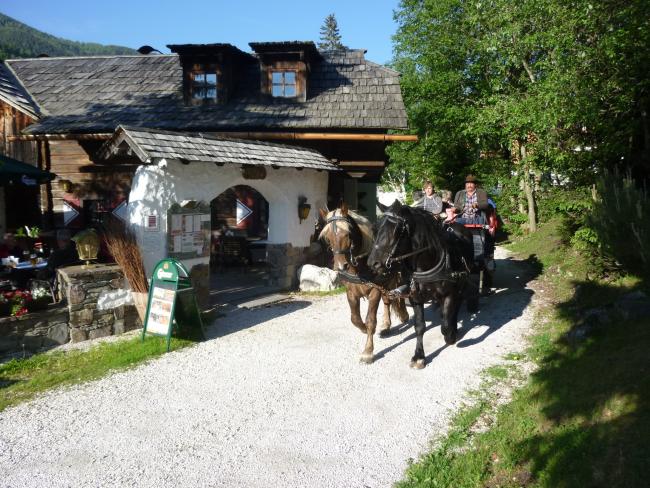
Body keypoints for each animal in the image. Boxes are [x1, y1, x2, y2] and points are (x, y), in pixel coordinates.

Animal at [370, 200, 476, 368]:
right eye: (375, 229)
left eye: (396, 231)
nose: (372, 263)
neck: (427, 263)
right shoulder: (415, 297)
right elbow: (420, 326)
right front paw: (419, 356)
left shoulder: (449, 293)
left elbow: (445, 326)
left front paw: (450, 336)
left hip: (461, 282)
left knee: (457, 304)